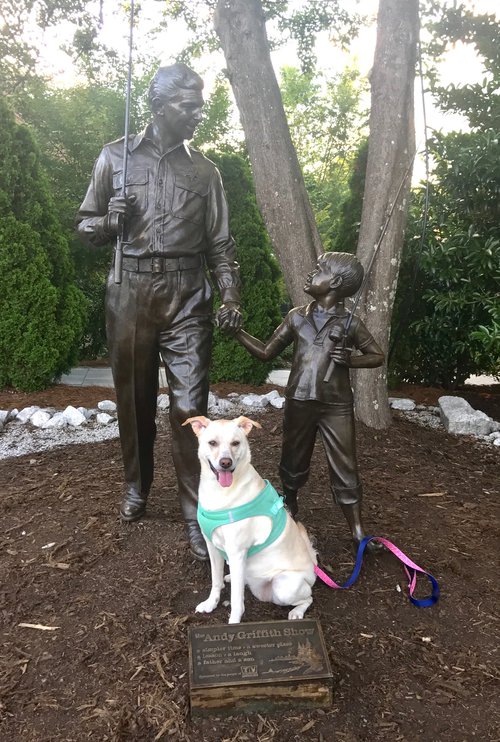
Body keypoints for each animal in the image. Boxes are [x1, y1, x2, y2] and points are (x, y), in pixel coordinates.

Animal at [184, 416, 316, 624]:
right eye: (212, 443)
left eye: (235, 443)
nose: (226, 462)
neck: (220, 492)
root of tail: (312, 571)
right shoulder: (211, 546)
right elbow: (215, 580)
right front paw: (211, 603)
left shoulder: (237, 552)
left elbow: (236, 600)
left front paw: (233, 622)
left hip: (284, 586)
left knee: (308, 598)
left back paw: (297, 612)